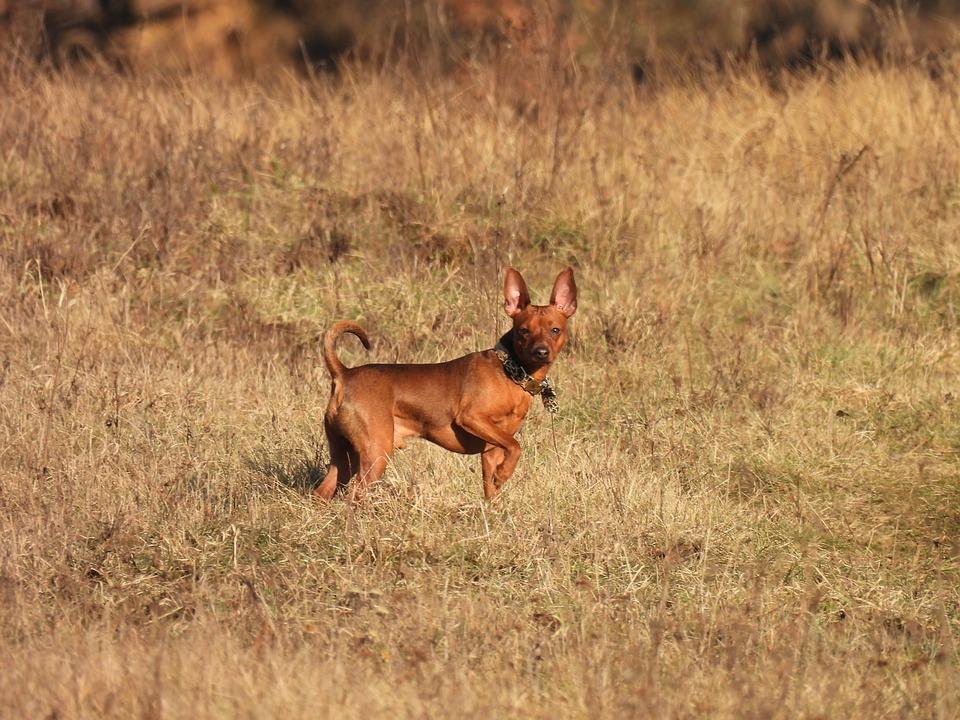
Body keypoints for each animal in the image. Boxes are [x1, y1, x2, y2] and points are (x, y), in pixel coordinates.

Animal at [316, 268, 576, 500]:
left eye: (555, 330)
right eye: (523, 331)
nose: (541, 352)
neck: (510, 371)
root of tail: (344, 373)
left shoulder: (491, 452)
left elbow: (493, 487)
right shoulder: (471, 418)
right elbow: (516, 446)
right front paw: (504, 474)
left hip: (344, 456)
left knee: (322, 492)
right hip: (376, 452)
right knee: (354, 495)